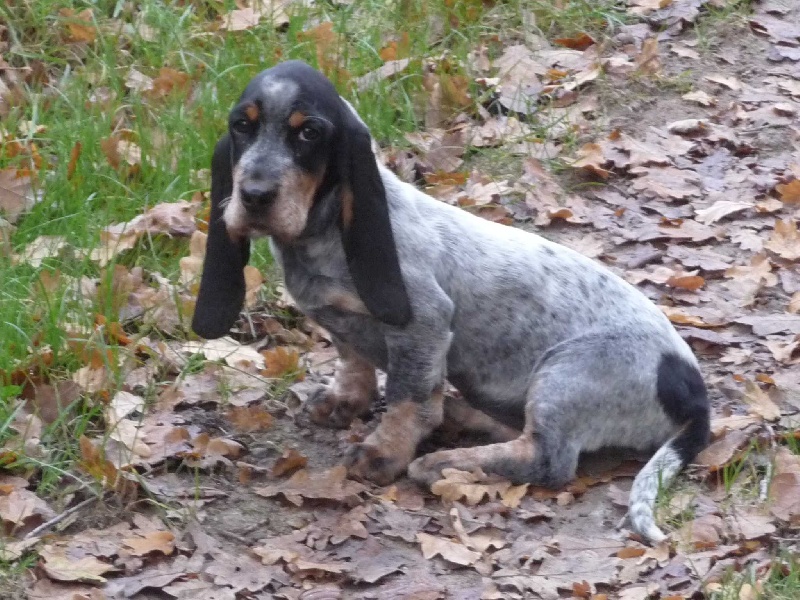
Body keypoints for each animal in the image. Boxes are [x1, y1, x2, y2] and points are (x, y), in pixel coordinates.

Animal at [192, 61, 712, 544]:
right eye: (241, 125)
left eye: (309, 132)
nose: (254, 195)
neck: (320, 238)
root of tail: (693, 390)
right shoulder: (343, 325)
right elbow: (353, 360)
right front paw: (346, 402)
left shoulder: (423, 324)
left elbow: (408, 399)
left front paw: (383, 453)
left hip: (564, 373)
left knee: (548, 460)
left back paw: (444, 463)